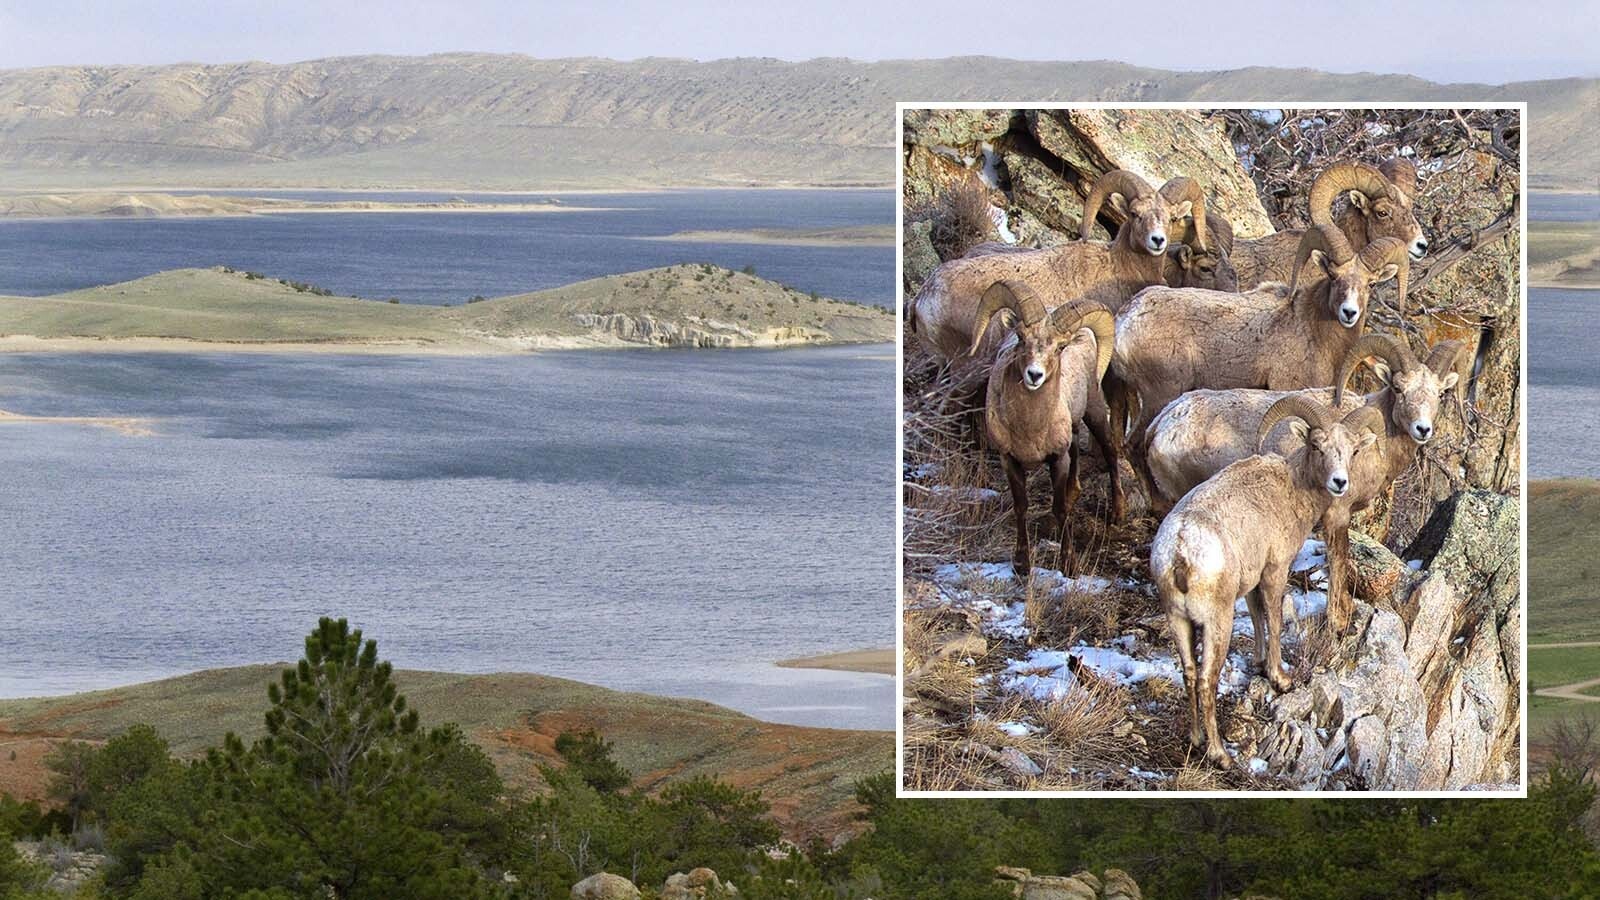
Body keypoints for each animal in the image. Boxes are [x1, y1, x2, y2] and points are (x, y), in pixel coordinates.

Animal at [968, 280, 1115, 578]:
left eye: (1060, 347)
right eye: (1021, 338)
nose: (1034, 375)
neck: (1029, 428)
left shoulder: (1057, 459)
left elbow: (1059, 509)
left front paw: (1069, 565)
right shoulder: (1009, 460)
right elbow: (1020, 507)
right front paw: (1022, 565)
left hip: (1094, 412)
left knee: (1111, 450)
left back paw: (1119, 513)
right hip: (1073, 429)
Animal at [1107, 223, 1412, 485]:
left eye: (1370, 284)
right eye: (1333, 276)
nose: (1349, 312)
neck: (1313, 329)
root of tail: (1124, 321)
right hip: (1160, 394)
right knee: (1132, 446)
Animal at [1143, 333, 1473, 632]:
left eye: (1439, 394)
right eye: (1398, 388)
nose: (1422, 429)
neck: (1374, 445)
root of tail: (1161, 424)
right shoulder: (1337, 515)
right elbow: (1338, 561)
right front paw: (1338, 622)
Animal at [1151, 395, 1384, 767]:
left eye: (1352, 451)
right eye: (1317, 446)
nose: (1339, 482)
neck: (1290, 490)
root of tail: (1180, 553)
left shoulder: (1251, 581)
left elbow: (1258, 617)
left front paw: (1260, 664)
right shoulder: (1275, 571)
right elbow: (1273, 621)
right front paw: (1280, 678)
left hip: (1178, 619)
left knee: (1188, 672)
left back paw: (1196, 738)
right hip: (1217, 622)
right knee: (1205, 680)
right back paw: (1219, 754)